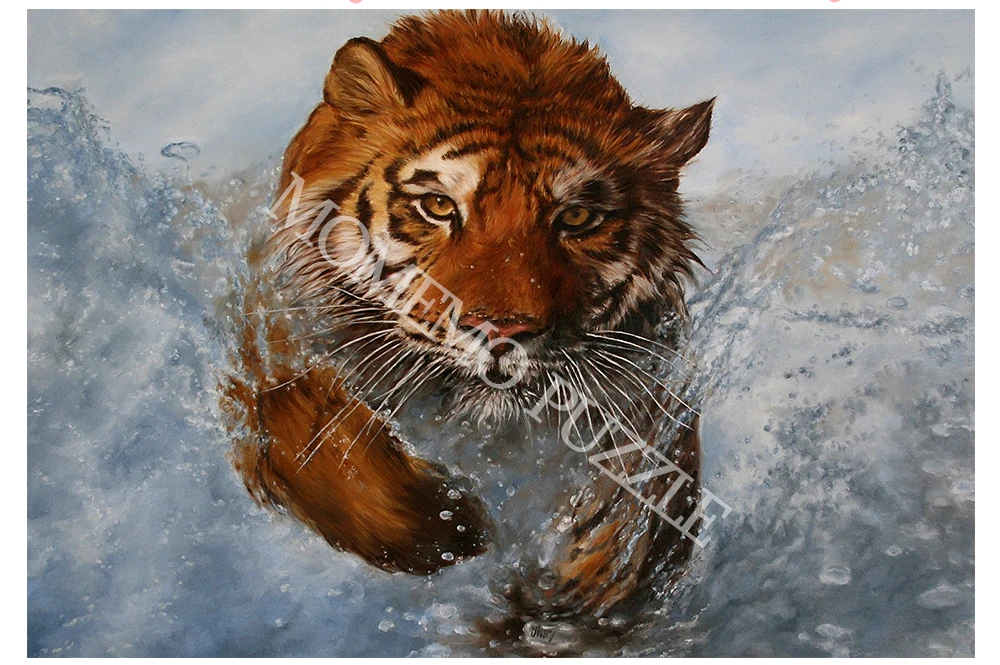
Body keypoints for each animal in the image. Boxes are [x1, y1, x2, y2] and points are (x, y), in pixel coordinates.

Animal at [221, 9, 713, 644]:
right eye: (437, 206)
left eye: (577, 217)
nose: (502, 329)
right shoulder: (274, 347)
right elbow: (320, 437)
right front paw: (451, 528)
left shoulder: (655, 386)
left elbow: (653, 484)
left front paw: (591, 577)